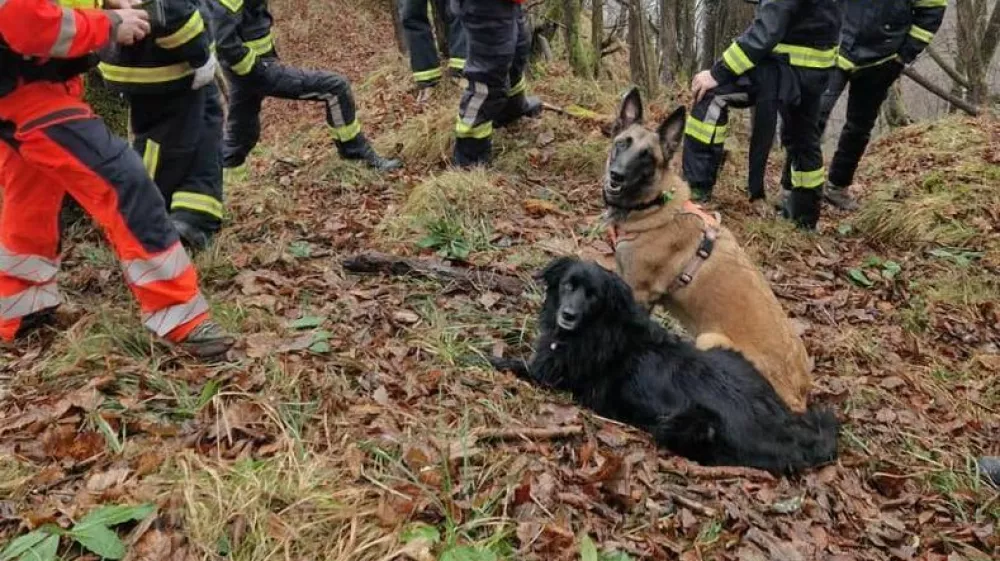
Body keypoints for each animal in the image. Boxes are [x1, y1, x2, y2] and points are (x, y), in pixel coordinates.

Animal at [492, 258, 836, 472]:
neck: (600, 327)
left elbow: (514, 363)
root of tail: (789, 428)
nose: (568, 315)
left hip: (689, 421)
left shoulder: (552, 375)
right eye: (567, 285)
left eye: (593, 296)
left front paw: (487, 355)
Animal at [600, 87, 812, 412]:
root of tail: (799, 399)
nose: (616, 175)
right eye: (622, 144)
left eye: (647, 157)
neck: (654, 205)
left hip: (710, 339)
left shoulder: (640, 292)